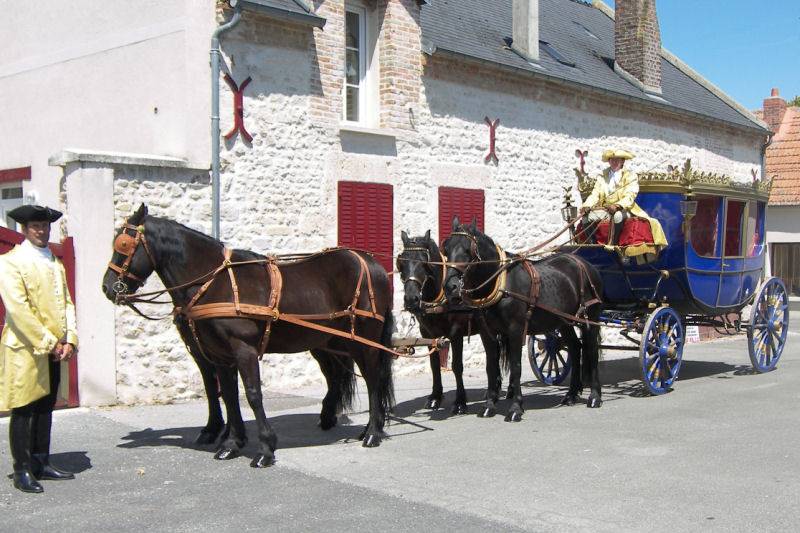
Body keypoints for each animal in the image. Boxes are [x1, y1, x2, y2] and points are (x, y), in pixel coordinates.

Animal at [101, 204, 396, 466]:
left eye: (123, 244)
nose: (107, 287)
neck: (213, 281)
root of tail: (370, 263)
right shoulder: (217, 354)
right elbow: (227, 394)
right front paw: (231, 442)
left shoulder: (243, 349)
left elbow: (252, 394)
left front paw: (265, 448)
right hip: (329, 342)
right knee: (337, 376)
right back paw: (345, 421)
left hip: (364, 341)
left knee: (373, 379)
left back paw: (372, 431)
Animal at [396, 229, 496, 412]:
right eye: (402, 263)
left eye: (424, 263)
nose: (411, 300)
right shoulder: (427, 334)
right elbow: (434, 365)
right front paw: (435, 397)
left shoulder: (456, 333)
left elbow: (457, 366)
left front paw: (460, 401)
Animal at [440, 216, 604, 420]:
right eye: (446, 249)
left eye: (468, 250)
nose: (451, 287)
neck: (500, 283)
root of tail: (585, 264)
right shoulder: (487, 333)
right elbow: (491, 367)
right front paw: (489, 406)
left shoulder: (515, 330)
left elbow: (516, 366)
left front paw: (516, 407)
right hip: (563, 321)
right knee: (575, 348)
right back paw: (571, 395)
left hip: (590, 318)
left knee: (592, 351)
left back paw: (595, 396)